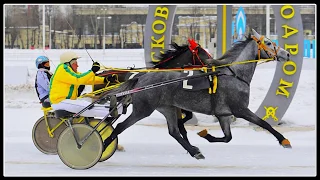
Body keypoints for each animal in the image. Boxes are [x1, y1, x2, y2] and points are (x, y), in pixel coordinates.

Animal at [102, 28, 292, 160]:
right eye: (268, 42)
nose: (287, 53)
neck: (234, 74)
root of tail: (140, 77)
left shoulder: (223, 114)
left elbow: (227, 137)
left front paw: (205, 135)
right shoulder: (240, 109)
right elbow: (264, 124)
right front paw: (284, 141)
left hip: (167, 108)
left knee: (173, 131)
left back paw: (194, 151)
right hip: (144, 109)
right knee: (120, 127)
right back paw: (103, 145)